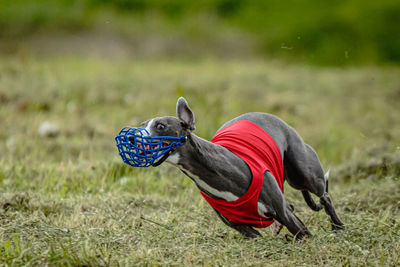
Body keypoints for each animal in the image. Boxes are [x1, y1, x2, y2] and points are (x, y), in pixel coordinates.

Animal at [138, 98, 344, 239]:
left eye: (160, 126)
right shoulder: (244, 229)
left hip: (304, 174)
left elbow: (304, 234)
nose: (133, 137)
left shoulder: (289, 217)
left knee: (324, 196)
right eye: (142, 125)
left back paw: (338, 227)